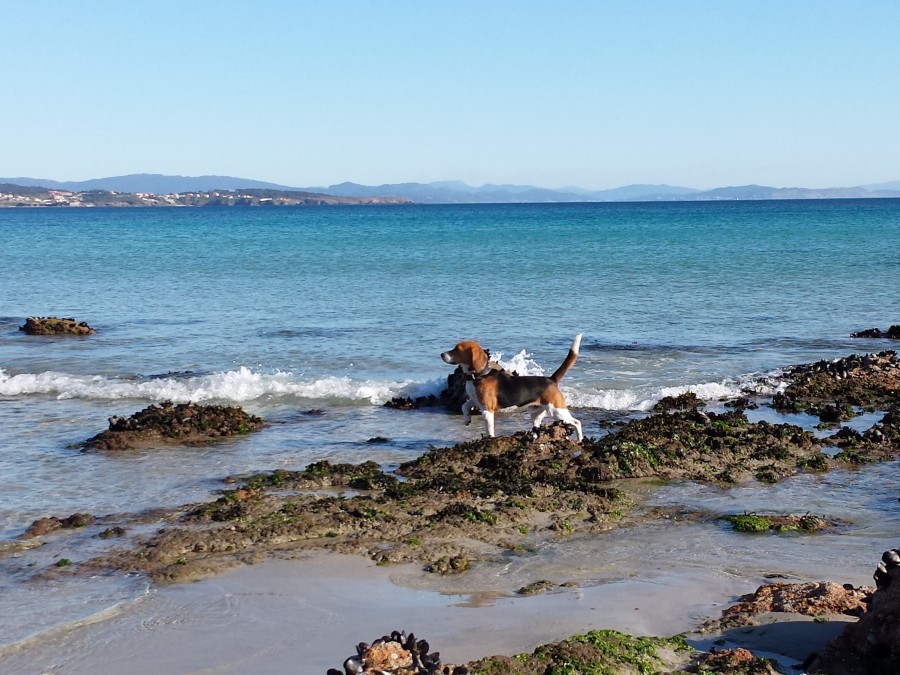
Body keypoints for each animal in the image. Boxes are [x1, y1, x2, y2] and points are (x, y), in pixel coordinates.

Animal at [442, 334, 584, 440]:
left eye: (457, 349)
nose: (441, 354)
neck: (478, 375)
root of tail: (551, 379)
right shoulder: (476, 400)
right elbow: (464, 405)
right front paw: (467, 419)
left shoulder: (487, 409)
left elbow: (489, 428)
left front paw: (489, 439)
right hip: (536, 413)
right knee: (537, 428)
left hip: (557, 411)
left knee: (577, 422)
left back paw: (580, 439)